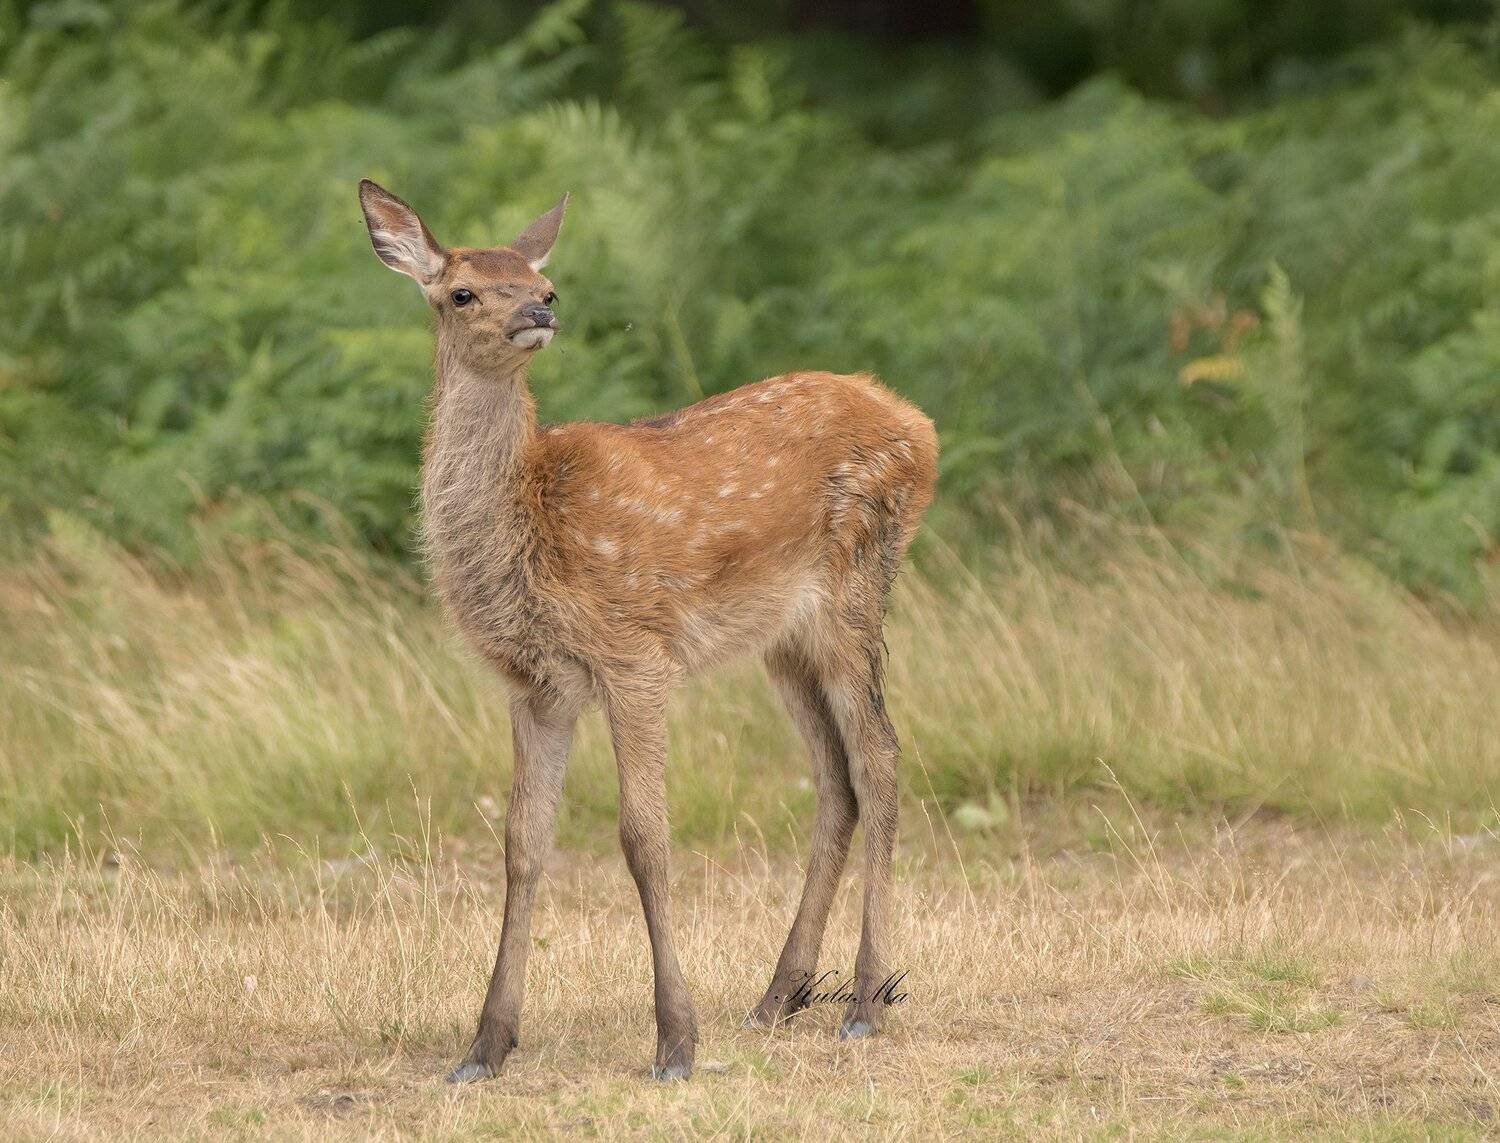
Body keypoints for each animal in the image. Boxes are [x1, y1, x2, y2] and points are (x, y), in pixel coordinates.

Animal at [358, 179, 938, 1083]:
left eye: (546, 284)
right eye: (463, 292)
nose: (539, 312)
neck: (532, 526)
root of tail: (920, 426)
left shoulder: (635, 653)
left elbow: (643, 836)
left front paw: (675, 1042)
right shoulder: (536, 684)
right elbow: (522, 841)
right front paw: (484, 1047)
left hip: (856, 584)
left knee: (879, 757)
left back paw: (867, 1002)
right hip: (783, 638)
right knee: (836, 775)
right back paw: (780, 995)